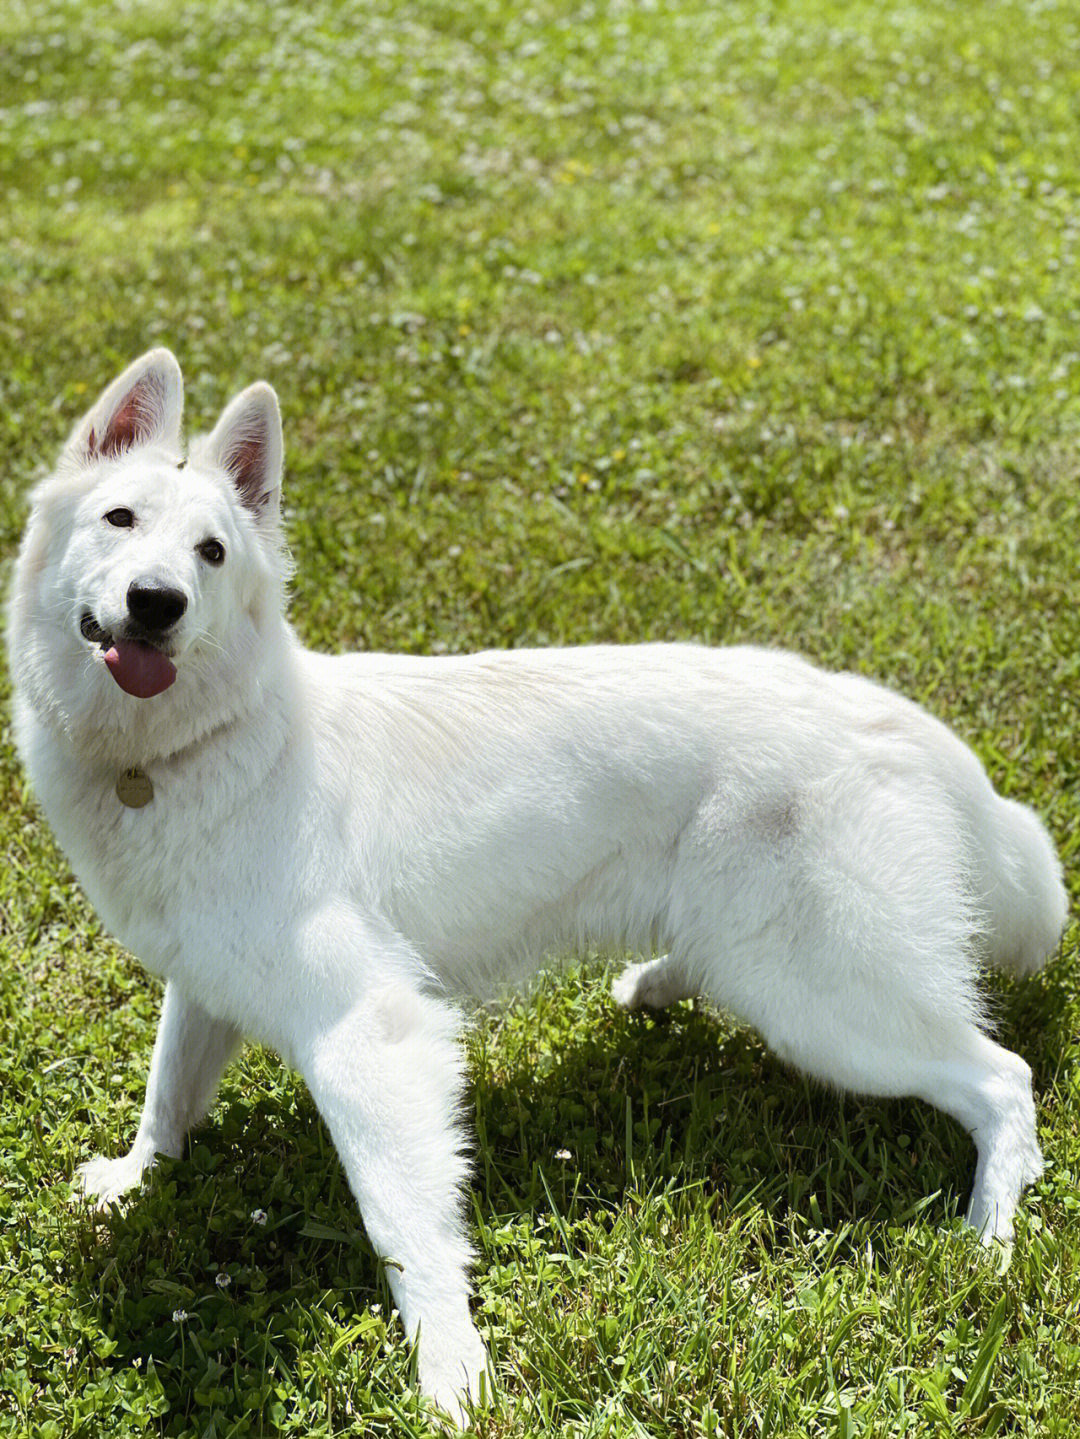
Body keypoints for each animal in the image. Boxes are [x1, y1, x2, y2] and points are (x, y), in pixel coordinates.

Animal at [6, 356, 1075, 1415]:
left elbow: (405, 1227)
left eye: (213, 553)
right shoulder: (205, 978)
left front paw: (452, 1374)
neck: (200, 744)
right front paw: (136, 1180)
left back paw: (988, 1239)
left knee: (1003, 1079)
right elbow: (169, 1093)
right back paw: (659, 982)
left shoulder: (370, 1034)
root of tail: (895, 717)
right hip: (769, 962)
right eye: (119, 519)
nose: (157, 602)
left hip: (826, 1005)